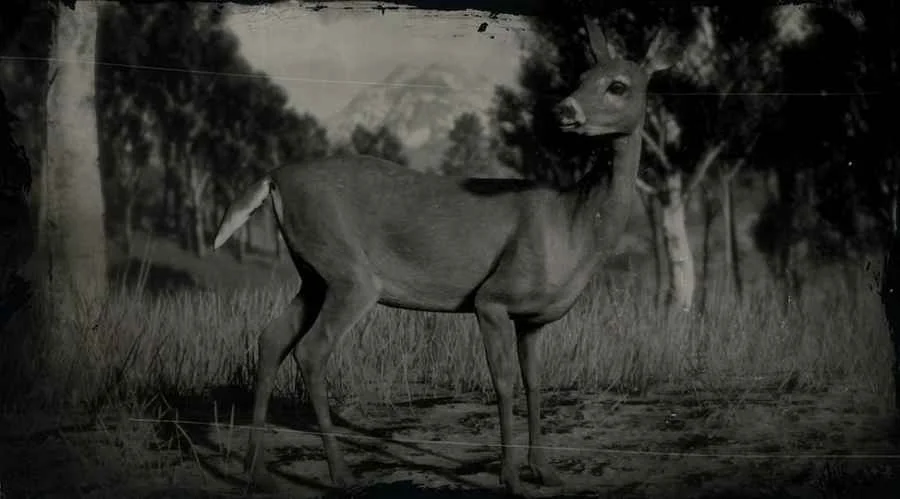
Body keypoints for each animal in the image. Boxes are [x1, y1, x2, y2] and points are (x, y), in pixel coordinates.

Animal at [212, 16, 674, 497]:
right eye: (582, 77)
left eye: (617, 85)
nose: (565, 111)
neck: (572, 225)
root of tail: (274, 176)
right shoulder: (493, 299)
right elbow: (504, 381)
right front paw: (511, 478)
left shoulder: (534, 319)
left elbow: (534, 382)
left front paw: (545, 470)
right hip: (350, 274)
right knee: (311, 350)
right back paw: (341, 475)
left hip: (315, 274)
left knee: (271, 338)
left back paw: (257, 472)